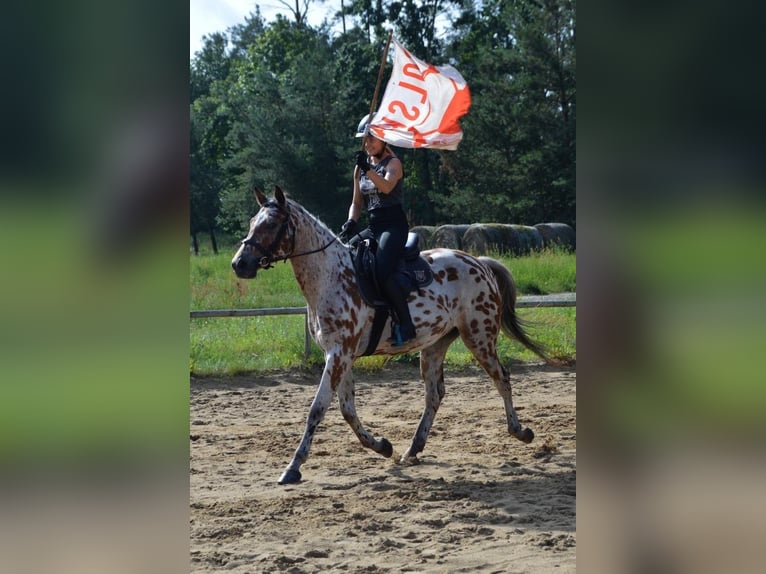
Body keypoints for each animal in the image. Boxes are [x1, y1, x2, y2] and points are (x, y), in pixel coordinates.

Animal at [231, 187, 548, 484]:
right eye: (252, 222)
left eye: (272, 224)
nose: (239, 264)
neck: (331, 277)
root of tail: (478, 261)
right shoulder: (341, 355)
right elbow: (347, 409)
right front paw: (382, 446)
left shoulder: (339, 354)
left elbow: (317, 409)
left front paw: (293, 467)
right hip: (434, 345)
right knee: (434, 394)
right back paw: (412, 450)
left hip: (479, 337)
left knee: (501, 378)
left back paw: (521, 431)